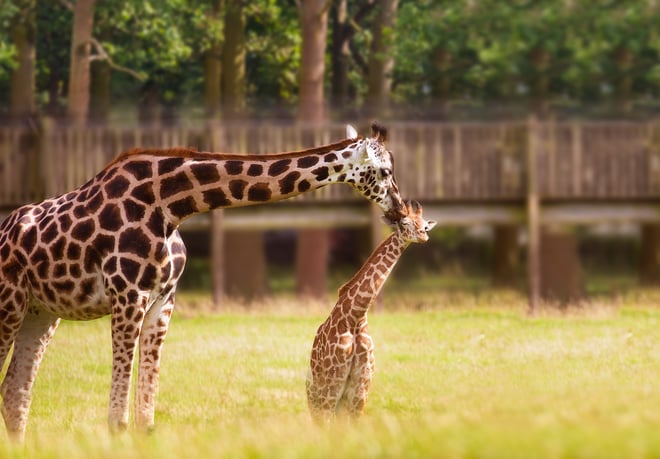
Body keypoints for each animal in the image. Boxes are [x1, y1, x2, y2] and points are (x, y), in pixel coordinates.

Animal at [0, 123, 406, 441]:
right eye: (385, 171)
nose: (400, 210)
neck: (171, 205)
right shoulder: (127, 294)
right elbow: (118, 419)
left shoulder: (163, 299)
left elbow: (146, 418)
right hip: (10, 304)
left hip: (40, 313)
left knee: (14, 393)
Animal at [306, 200, 435, 423]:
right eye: (404, 222)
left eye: (424, 225)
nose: (423, 235)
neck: (354, 316)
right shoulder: (332, 385)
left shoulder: (361, 391)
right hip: (318, 396)